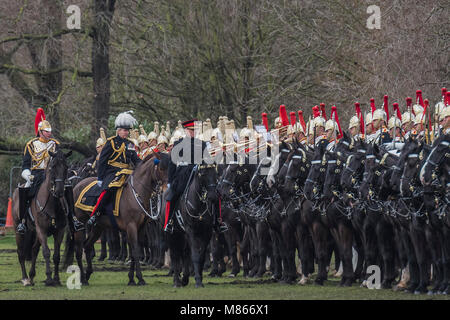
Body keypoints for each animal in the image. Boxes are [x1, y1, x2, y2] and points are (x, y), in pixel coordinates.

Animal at [12, 149, 72, 286]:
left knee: (34, 250)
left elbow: (56, 256)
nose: (59, 191)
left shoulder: (59, 231)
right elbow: (46, 252)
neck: (53, 205)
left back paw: (31, 276)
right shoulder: (42, 230)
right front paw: (49, 278)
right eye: (52, 167)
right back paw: (25, 279)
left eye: (66, 167)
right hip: (19, 230)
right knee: (21, 253)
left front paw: (56, 279)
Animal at [71, 152, 170, 284]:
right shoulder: (131, 226)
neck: (137, 192)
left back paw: (87, 275)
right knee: (78, 250)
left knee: (86, 246)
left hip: (98, 227)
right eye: (161, 168)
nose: (166, 190)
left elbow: (135, 251)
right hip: (80, 223)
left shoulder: (141, 227)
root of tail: (77, 186)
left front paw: (132, 279)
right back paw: (82, 277)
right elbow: (135, 250)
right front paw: (140, 278)